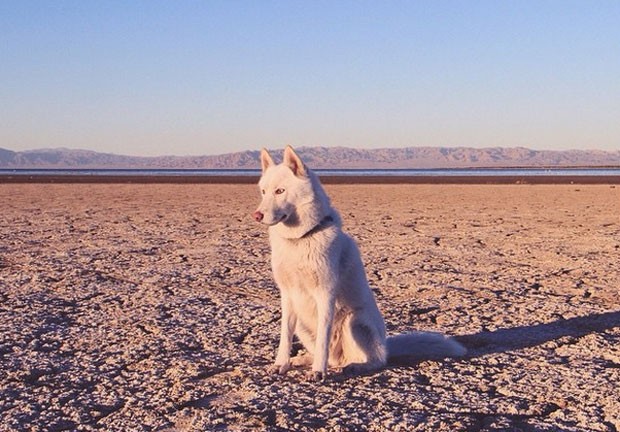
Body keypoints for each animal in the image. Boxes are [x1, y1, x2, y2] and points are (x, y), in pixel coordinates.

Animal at [252, 146, 464, 382]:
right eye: (263, 192)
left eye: (280, 191)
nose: (257, 215)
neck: (300, 239)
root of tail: (386, 345)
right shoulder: (288, 294)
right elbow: (285, 336)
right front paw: (281, 363)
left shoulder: (326, 293)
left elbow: (323, 338)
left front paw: (318, 371)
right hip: (304, 325)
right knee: (329, 355)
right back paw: (304, 359)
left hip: (354, 321)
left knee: (376, 360)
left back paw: (355, 366)